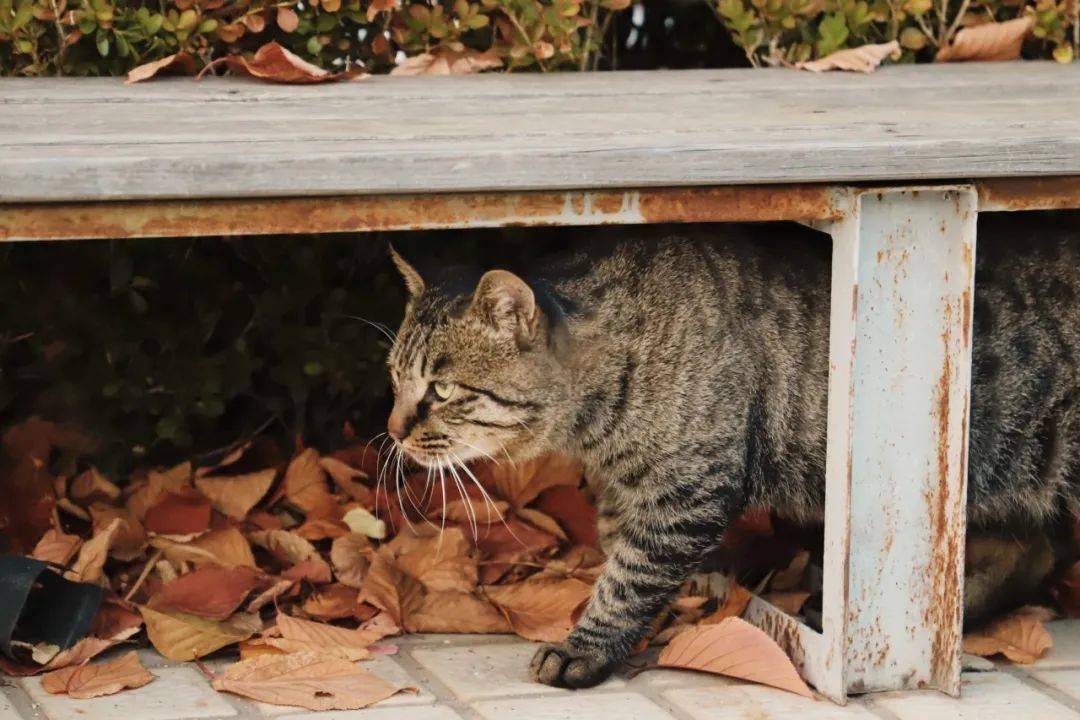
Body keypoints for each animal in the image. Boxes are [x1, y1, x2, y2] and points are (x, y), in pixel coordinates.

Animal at [384, 216, 1075, 690]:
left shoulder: (686, 489)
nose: (391, 430)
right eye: (394, 377)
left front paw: (587, 645)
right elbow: (618, 548)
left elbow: (630, 574)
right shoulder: (626, 490)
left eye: (440, 390)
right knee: (1029, 550)